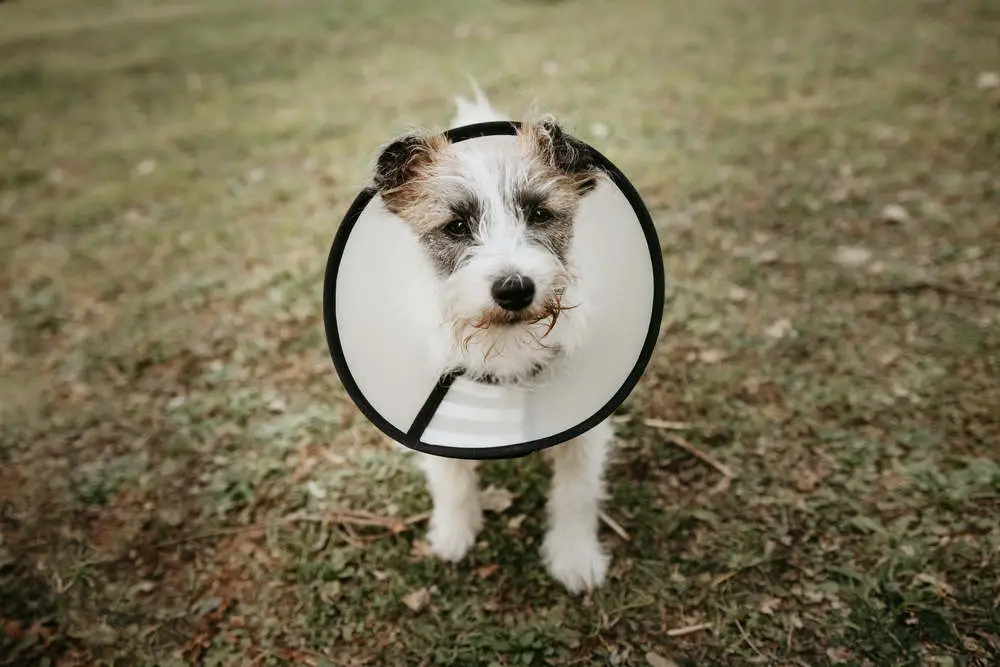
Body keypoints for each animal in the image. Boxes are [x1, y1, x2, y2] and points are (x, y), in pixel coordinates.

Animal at [372, 85, 612, 596]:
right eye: (457, 226)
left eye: (540, 213)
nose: (514, 289)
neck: (509, 341)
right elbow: (450, 480)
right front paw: (454, 535)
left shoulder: (588, 425)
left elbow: (577, 491)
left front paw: (574, 557)